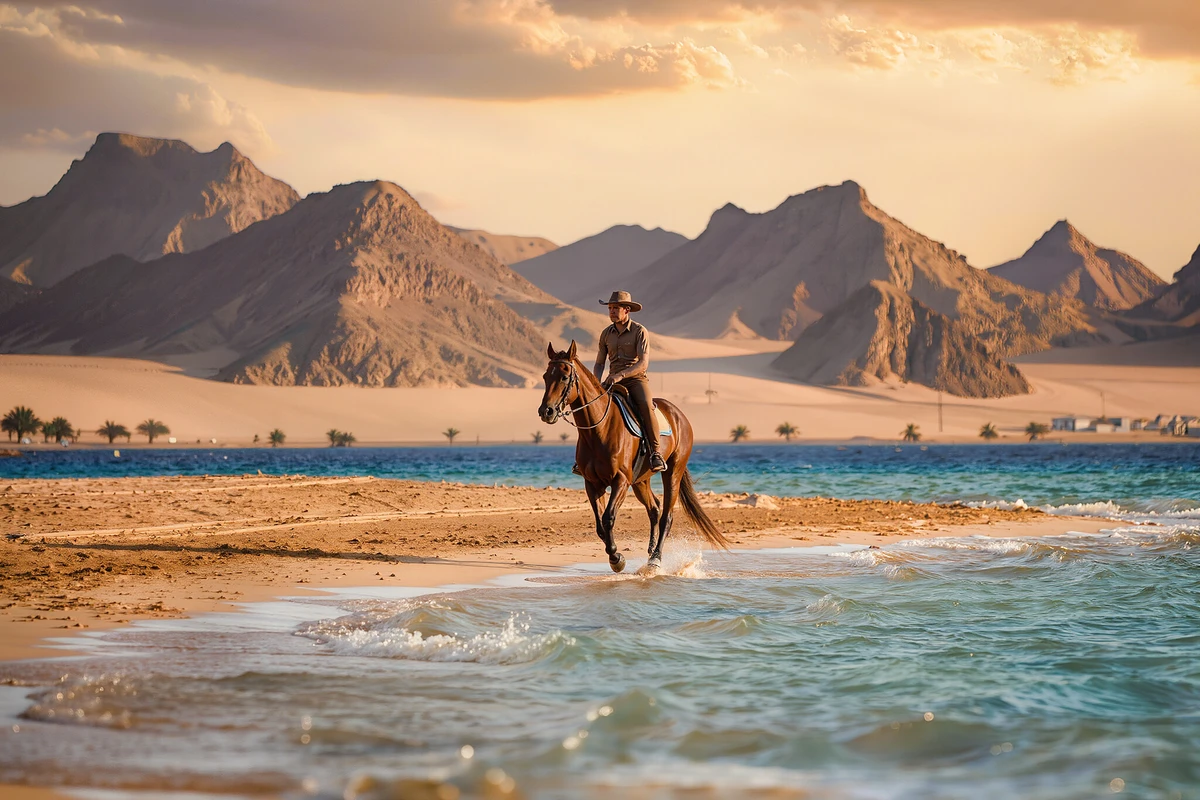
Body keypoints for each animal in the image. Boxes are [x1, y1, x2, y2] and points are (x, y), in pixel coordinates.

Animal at [537, 341, 730, 574]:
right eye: (546, 376)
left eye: (565, 376)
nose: (546, 411)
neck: (599, 430)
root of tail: (679, 415)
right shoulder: (592, 483)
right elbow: (600, 525)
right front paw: (615, 556)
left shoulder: (621, 480)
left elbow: (608, 518)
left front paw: (616, 558)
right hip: (641, 480)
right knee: (654, 509)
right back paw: (650, 553)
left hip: (672, 473)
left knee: (666, 516)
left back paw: (655, 559)